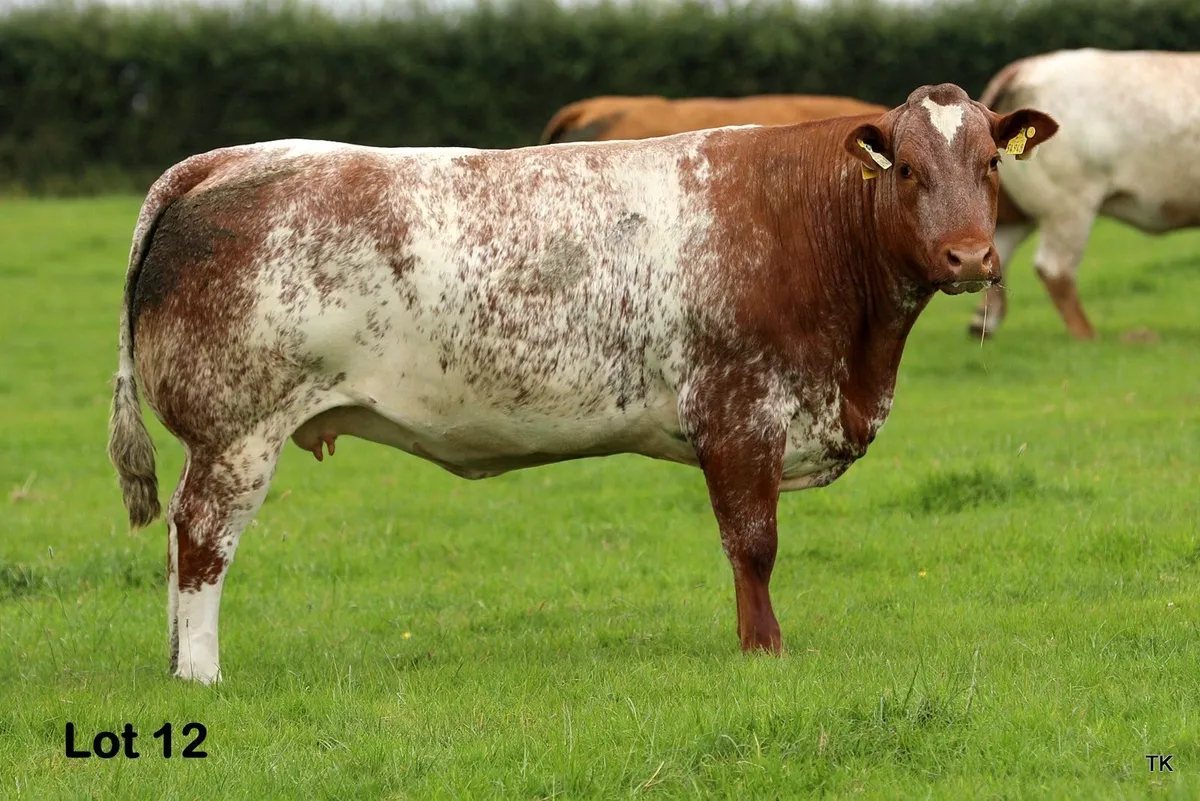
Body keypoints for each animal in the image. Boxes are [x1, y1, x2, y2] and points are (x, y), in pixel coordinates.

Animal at [108, 83, 1056, 683]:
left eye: (991, 165)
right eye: (908, 169)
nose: (969, 256)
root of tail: (221, 160)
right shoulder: (740, 412)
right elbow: (753, 545)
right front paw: (765, 653)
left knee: (180, 544)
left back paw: (174, 662)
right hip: (238, 430)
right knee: (201, 540)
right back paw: (201, 675)